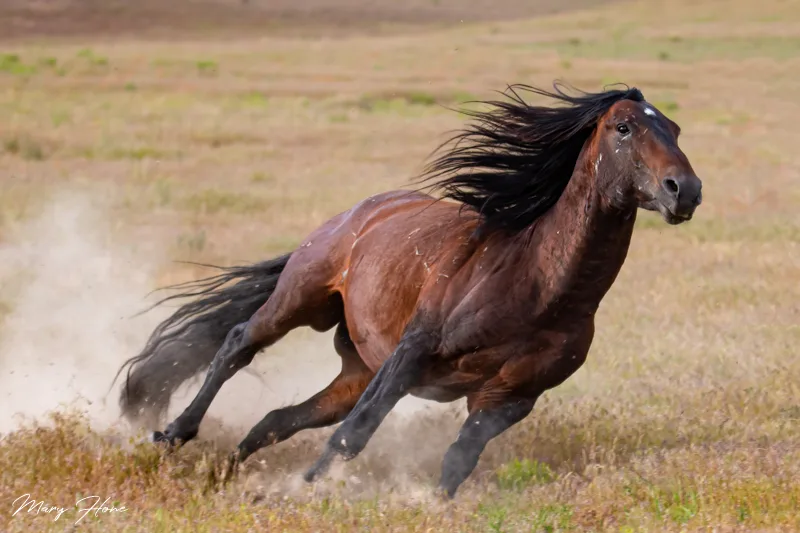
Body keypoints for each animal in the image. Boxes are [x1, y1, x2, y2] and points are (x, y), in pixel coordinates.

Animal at [115, 82, 702, 498]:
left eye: (675, 128)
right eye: (624, 127)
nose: (686, 191)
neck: (538, 285)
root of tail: (358, 212)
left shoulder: (510, 398)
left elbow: (457, 460)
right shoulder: (413, 353)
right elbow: (356, 433)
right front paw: (298, 494)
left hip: (356, 368)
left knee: (278, 419)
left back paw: (224, 476)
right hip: (300, 299)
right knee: (238, 344)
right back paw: (173, 435)